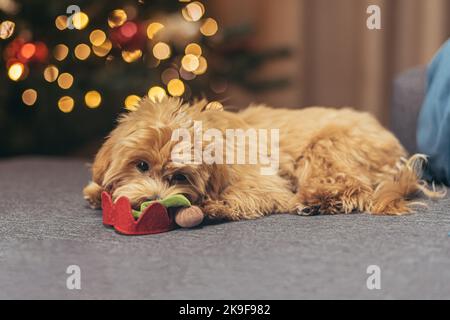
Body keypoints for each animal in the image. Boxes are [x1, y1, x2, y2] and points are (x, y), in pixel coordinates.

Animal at [83, 97, 440, 220]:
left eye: (180, 176)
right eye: (141, 165)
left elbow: (245, 196)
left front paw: (213, 207)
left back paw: (316, 201)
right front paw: (95, 192)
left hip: (327, 146)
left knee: (354, 188)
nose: (153, 201)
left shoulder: (264, 184)